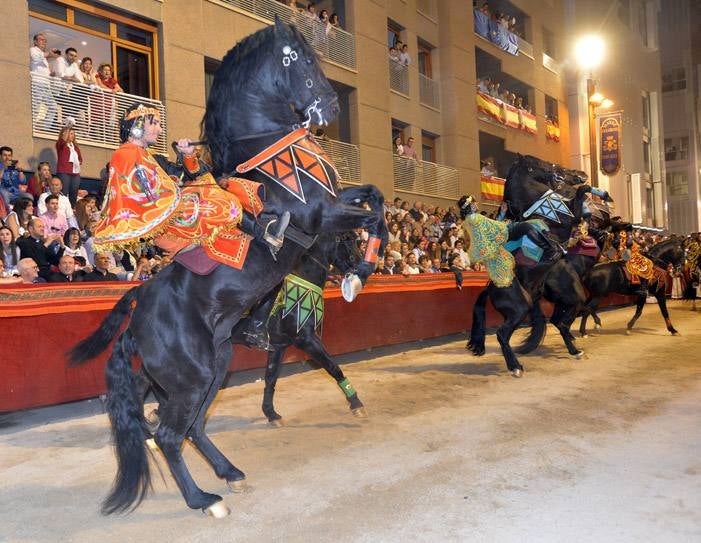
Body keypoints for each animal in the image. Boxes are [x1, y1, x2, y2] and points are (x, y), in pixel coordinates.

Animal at [69, 18, 388, 520]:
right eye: (297, 59)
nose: (331, 107)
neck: (265, 146)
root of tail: (139, 310)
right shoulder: (320, 216)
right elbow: (374, 215)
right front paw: (363, 270)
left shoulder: (336, 204)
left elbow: (375, 197)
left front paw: (365, 265)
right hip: (192, 373)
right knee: (171, 433)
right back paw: (203, 498)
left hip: (213, 365)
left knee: (191, 425)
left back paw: (229, 473)